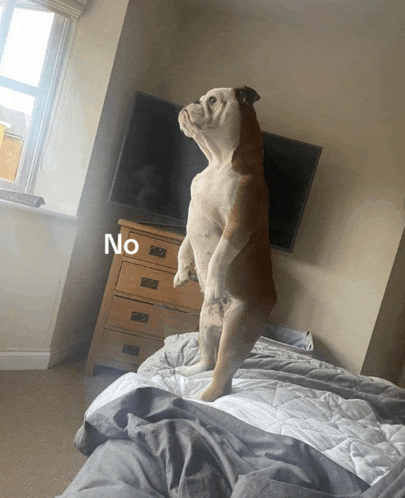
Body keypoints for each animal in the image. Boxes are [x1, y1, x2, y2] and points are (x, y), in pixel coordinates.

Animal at [172, 85, 276, 402]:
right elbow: (184, 244)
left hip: (236, 331)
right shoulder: (191, 221)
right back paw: (189, 370)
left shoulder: (239, 224)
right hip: (204, 325)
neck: (217, 162)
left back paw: (201, 398)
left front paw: (214, 284)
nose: (191, 101)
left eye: (212, 100)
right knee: (208, 359)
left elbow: (219, 255)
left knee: (221, 374)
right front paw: (181, 273)